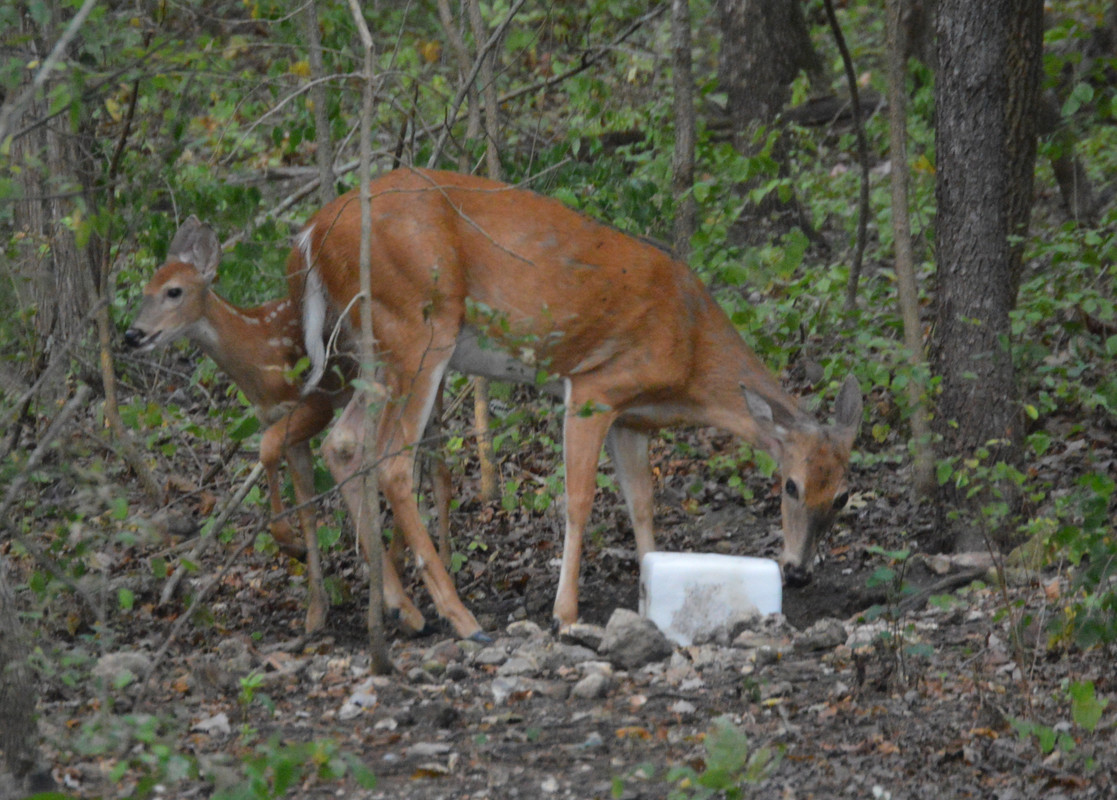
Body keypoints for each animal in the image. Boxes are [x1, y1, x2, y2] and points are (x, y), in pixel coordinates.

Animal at [124, 216, 449, 637]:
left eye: (173, 291)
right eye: (145, 290)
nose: (132, 334)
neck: (258, 355)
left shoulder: (314, 404)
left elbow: (266, 449)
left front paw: (287, 543)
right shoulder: (277, 416)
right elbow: (305, 503)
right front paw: (315, 610)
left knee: (436, 465)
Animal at [289, 167, 864, 642]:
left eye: (841, 496)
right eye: (790, 486)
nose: (799, 570)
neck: (692, 349)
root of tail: (311, 232)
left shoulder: (633, 421)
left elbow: (642, 503)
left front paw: (653, 586)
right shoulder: (595, 387)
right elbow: (580, 499)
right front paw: (565, 613)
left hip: (376, 350)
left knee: (343, 444)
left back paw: (404, 610)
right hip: (418, 326)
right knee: (391, 460)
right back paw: (461, 619)